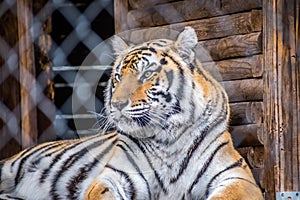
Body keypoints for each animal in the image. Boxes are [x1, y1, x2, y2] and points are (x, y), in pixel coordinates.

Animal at [0, 27, 262, 200]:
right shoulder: (114, 175)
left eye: (146, 74)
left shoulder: (237, 177)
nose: (116, 104)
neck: (168, 139)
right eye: (118, 77)